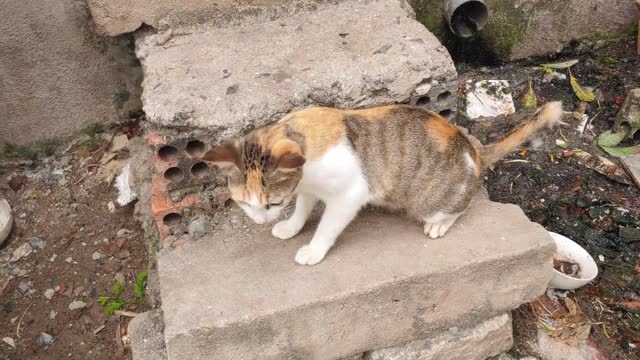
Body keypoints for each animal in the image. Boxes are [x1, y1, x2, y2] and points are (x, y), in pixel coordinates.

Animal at [202, 101, 564, 264]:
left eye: (271, 203)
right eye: (244, 202)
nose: (260, 221)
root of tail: (472, 149)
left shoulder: (349, 195)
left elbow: (327, 227)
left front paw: (313, 249)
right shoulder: (307, 187)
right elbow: (303, 208)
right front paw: (292, 226)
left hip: (431, 201)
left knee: (460, 206)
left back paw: (441, 223)